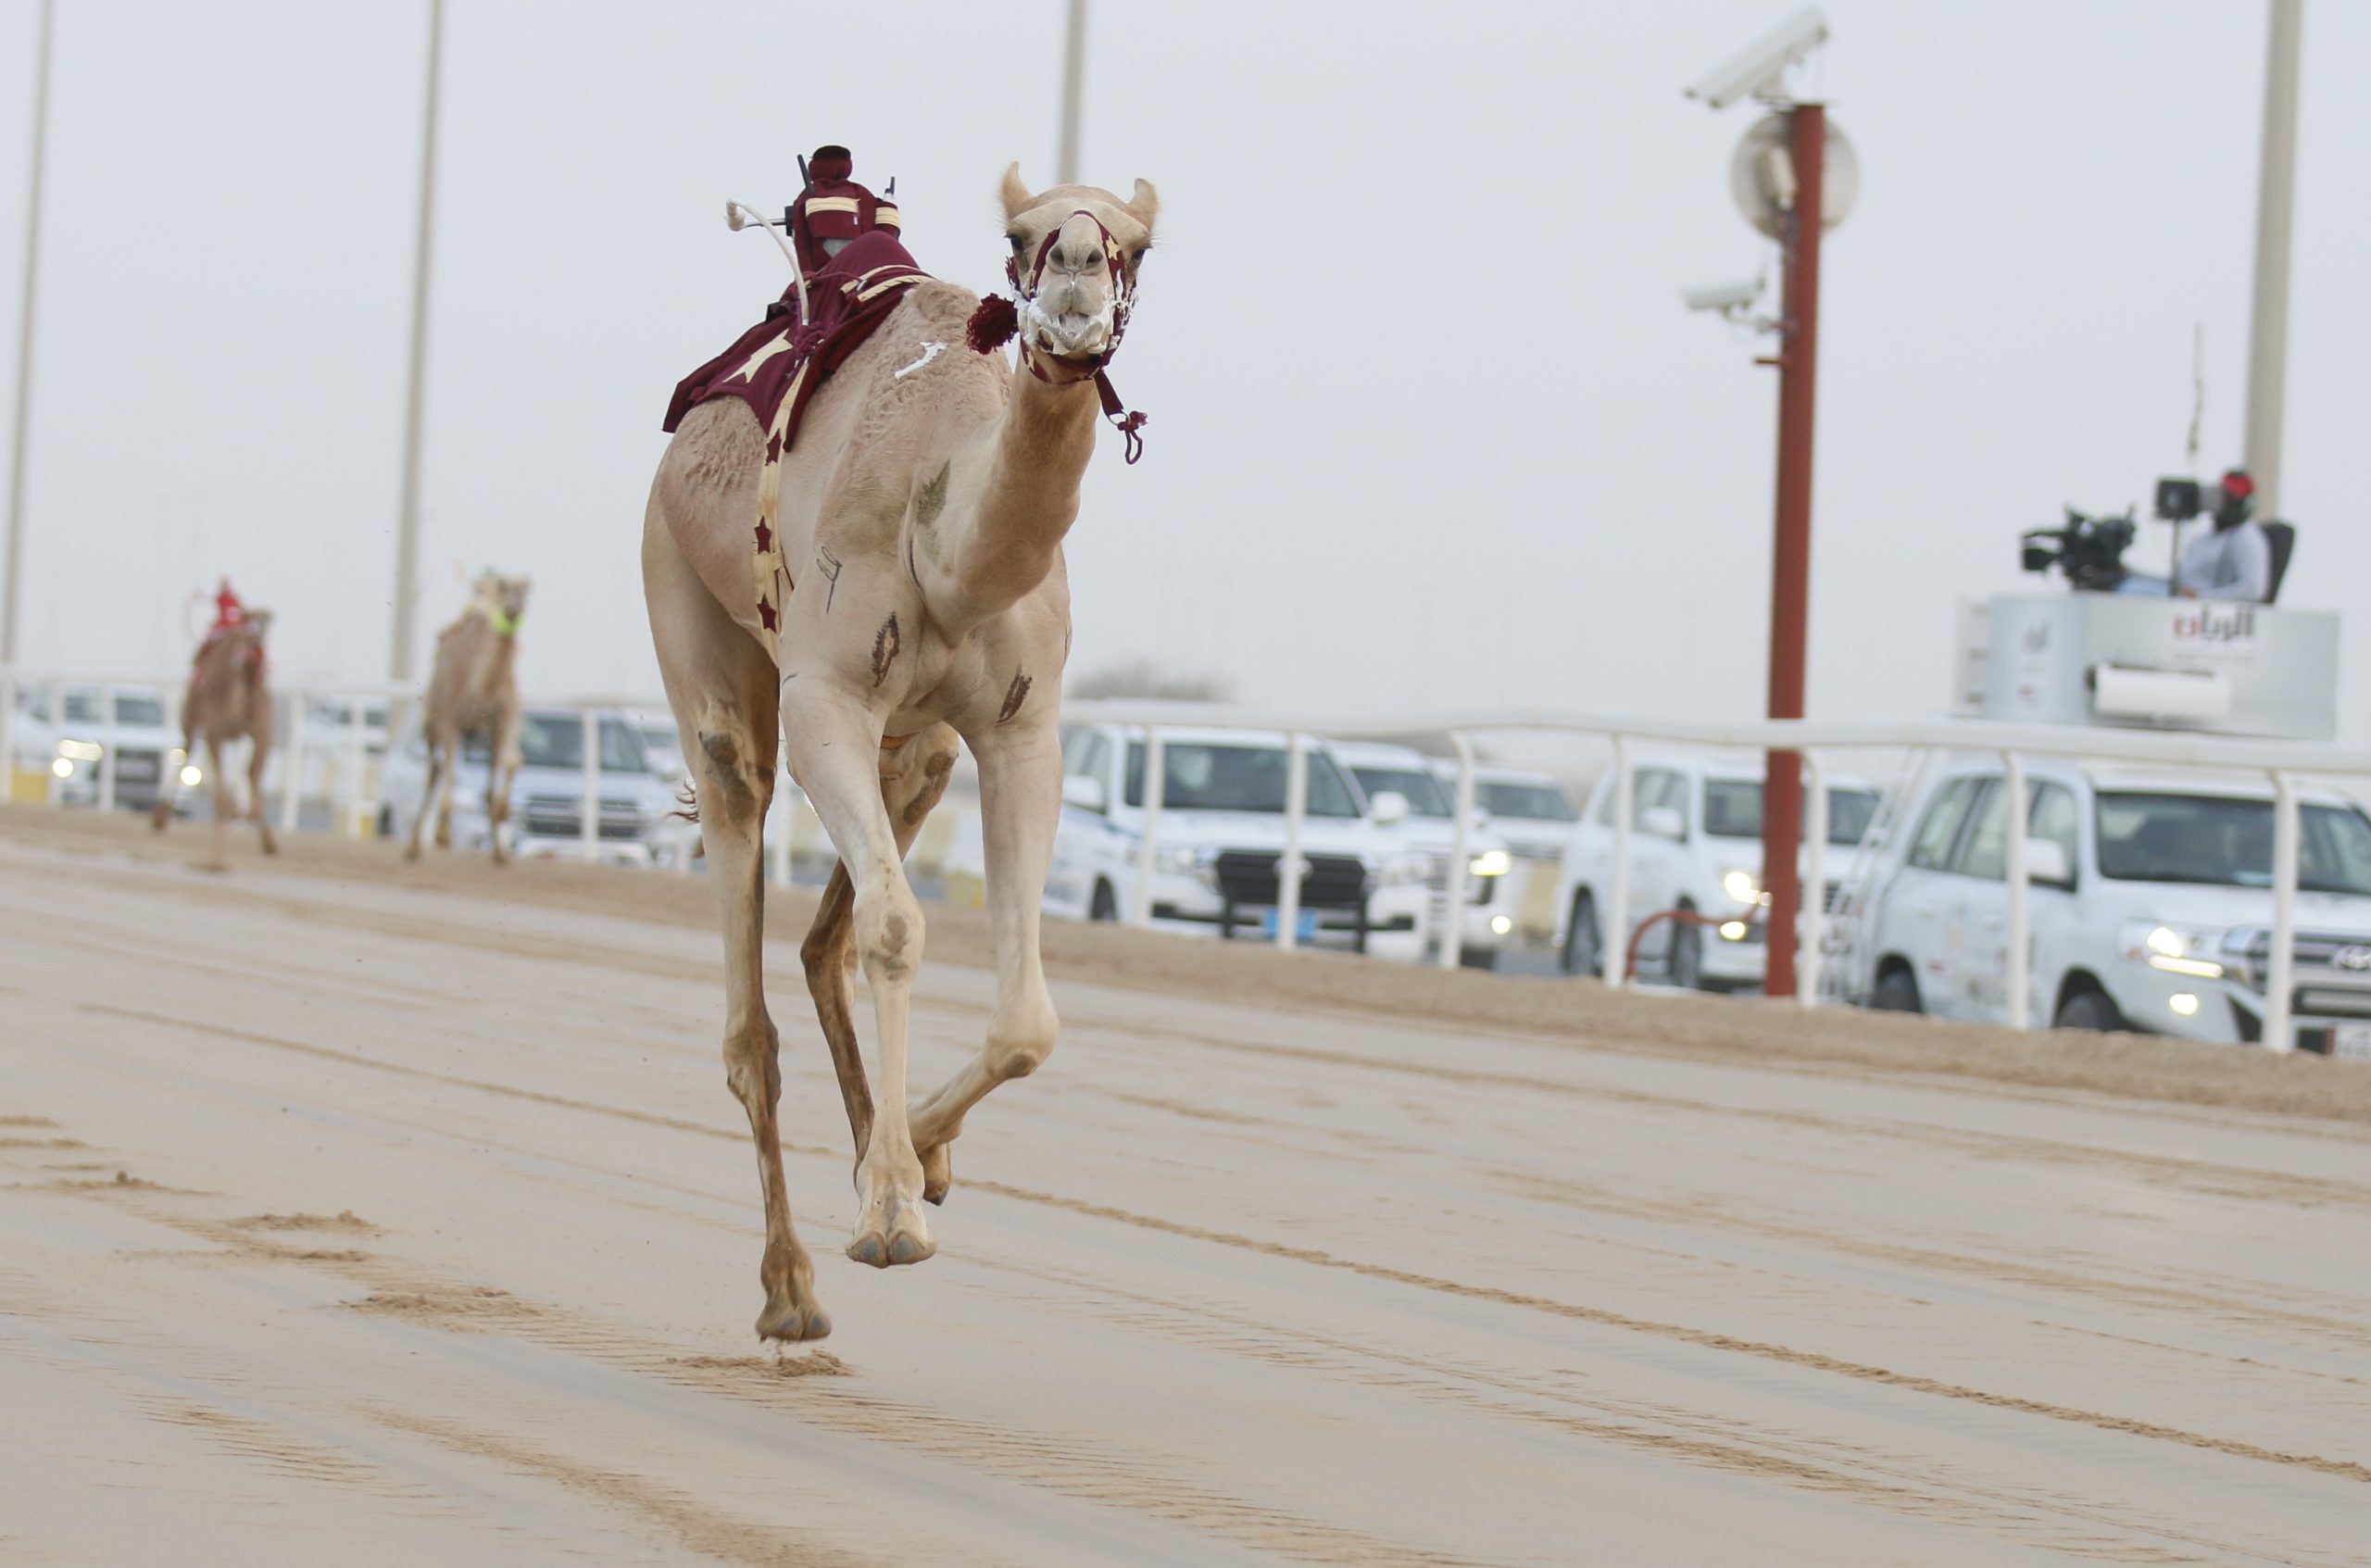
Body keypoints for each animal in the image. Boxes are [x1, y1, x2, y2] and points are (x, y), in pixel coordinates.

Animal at [150, 605, 277, 868]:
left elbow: (251, 775)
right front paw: (217, 860)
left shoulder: (261, 734)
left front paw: (268, 842)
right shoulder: (215, 730)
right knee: (187, 752)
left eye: (267, 625)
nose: (256, 650)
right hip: (192, 721)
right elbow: (221, 793)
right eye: (250, 624)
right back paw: (160, 819)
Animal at [405, 573, 531, 863]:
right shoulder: (449, 720)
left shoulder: (507, 718)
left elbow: (513, 762)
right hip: (432, 726)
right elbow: (450, 768)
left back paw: (498, 850)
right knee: (434, 771)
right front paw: (442, 836)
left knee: (487, 781)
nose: (515, 604)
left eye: (525, 590)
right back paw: (415, 846)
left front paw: (502, 814)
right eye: (505, 588)